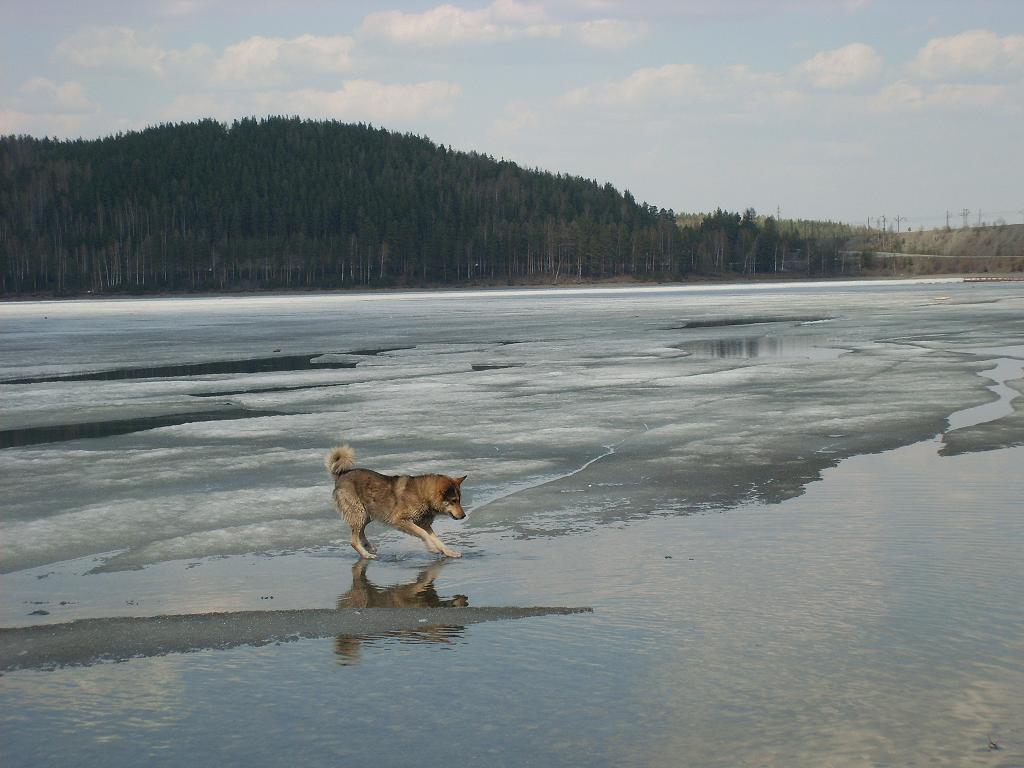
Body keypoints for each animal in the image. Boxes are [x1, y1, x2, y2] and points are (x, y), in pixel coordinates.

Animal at [323, 444, 468, 561]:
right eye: (454, 501)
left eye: (459, 500)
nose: (464, 516)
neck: (423, 494)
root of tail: (340, 475)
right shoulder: (400, 520)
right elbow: (423, 534)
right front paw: (431, 547)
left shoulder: (424, 523)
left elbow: (437, 540)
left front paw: (449, 552)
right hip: (358, 511)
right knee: (353, 540)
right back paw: (366, 555)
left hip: (368, 514)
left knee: (360, 532)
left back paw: (369, 547)